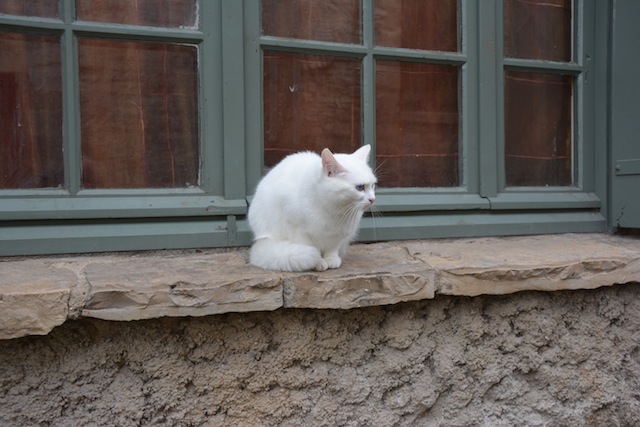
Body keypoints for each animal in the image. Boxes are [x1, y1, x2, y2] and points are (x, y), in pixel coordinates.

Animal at [248, 145, 378, 272]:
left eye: (373, 185)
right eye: (360, 187)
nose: (373, 199)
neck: (334, 209)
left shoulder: (339, 234)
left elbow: (332, 248)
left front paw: (331, 259)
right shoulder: (300, 233)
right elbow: (311, 249)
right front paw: (318, 262)